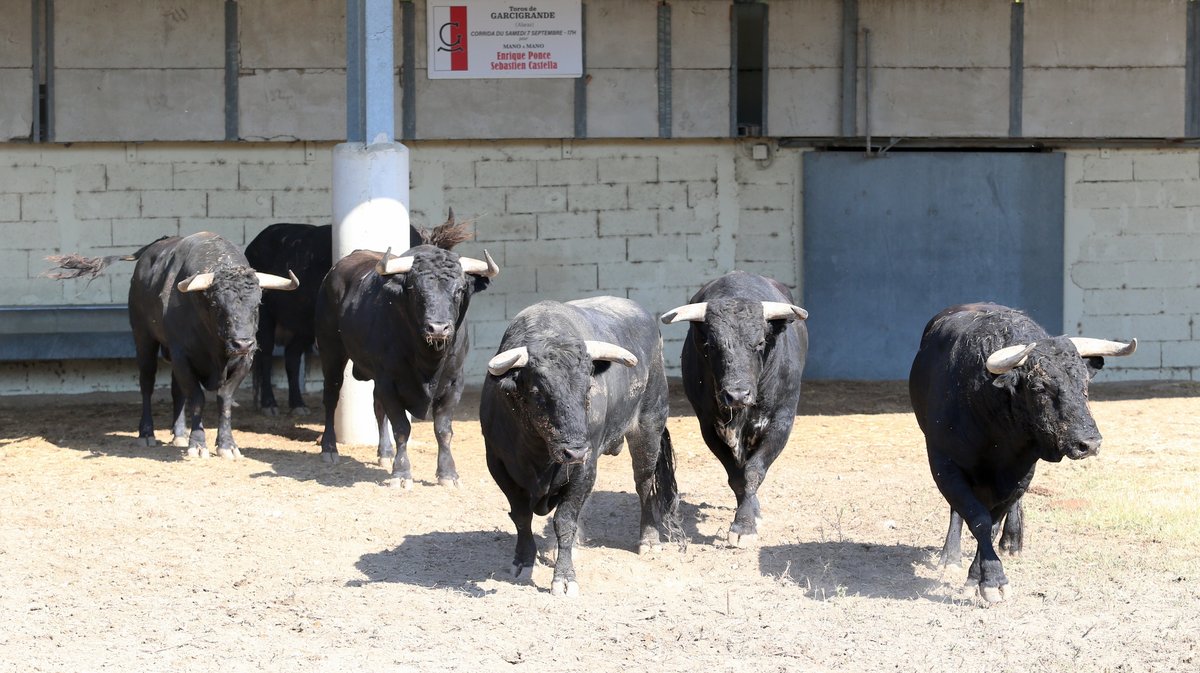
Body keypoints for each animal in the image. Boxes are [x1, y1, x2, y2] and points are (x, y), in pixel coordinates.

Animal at [314, 243, 496, 484]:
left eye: (459, 290)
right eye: (415, 289)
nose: (438, 328)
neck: (429, 362)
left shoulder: (455, 382)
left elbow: (443, 429)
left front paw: (448, 473)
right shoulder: (389, 382)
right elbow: (401, 427)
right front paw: (401, 473)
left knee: (377, 407)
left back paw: (385, 452)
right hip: (331, 350)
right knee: (331, 397)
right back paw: (329, 448)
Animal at [480, 296, 686, 595]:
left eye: (588, 388)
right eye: (536, 392)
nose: (575, 450)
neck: (539, 454)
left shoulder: (584, 468)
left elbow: (564, 520)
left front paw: (564, 578)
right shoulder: (499, 465)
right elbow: (521, 516)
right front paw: (523, 561)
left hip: (649, 426)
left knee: (644, 484)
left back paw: (649, 539)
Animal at [662, 268, 811, 547]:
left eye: (761, 342)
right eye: (710, 345)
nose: (737, 394)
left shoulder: (782, 421)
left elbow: (753, 471)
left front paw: (745, 525)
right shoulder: (708, 426)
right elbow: (737, 476)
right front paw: (745, 519)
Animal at [907, 302, 1132, 599]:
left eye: (1085, 383)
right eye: (1039, 387)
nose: (1089, 444)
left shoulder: (1021, 471)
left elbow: (991, 524)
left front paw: (982, 577)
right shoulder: (944, 465)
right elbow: (975, 516)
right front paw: (989, 579)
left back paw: (1012, 542)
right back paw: (951, 556)